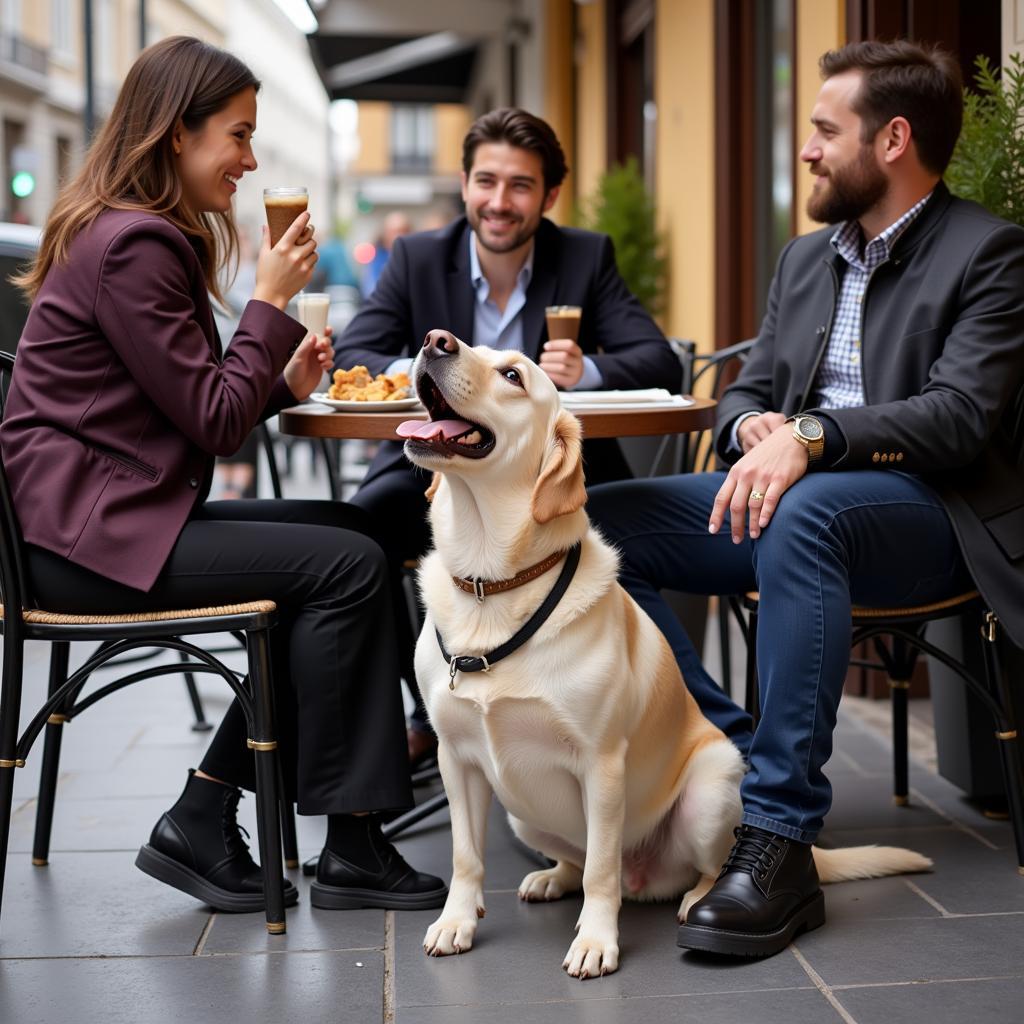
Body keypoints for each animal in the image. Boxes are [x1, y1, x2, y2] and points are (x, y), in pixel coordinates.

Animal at [397, 331, 929, 978]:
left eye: (514, 375)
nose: (435, 341)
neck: (490, 586)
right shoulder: (457, 760)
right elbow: (465, 855)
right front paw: (456, 921)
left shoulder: (602, 764)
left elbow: (601, 873)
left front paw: (596, 941)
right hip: (521, 810)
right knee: (578, 861)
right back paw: (552, 877)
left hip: (711, 788)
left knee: (685, 867)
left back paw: (701, 899)